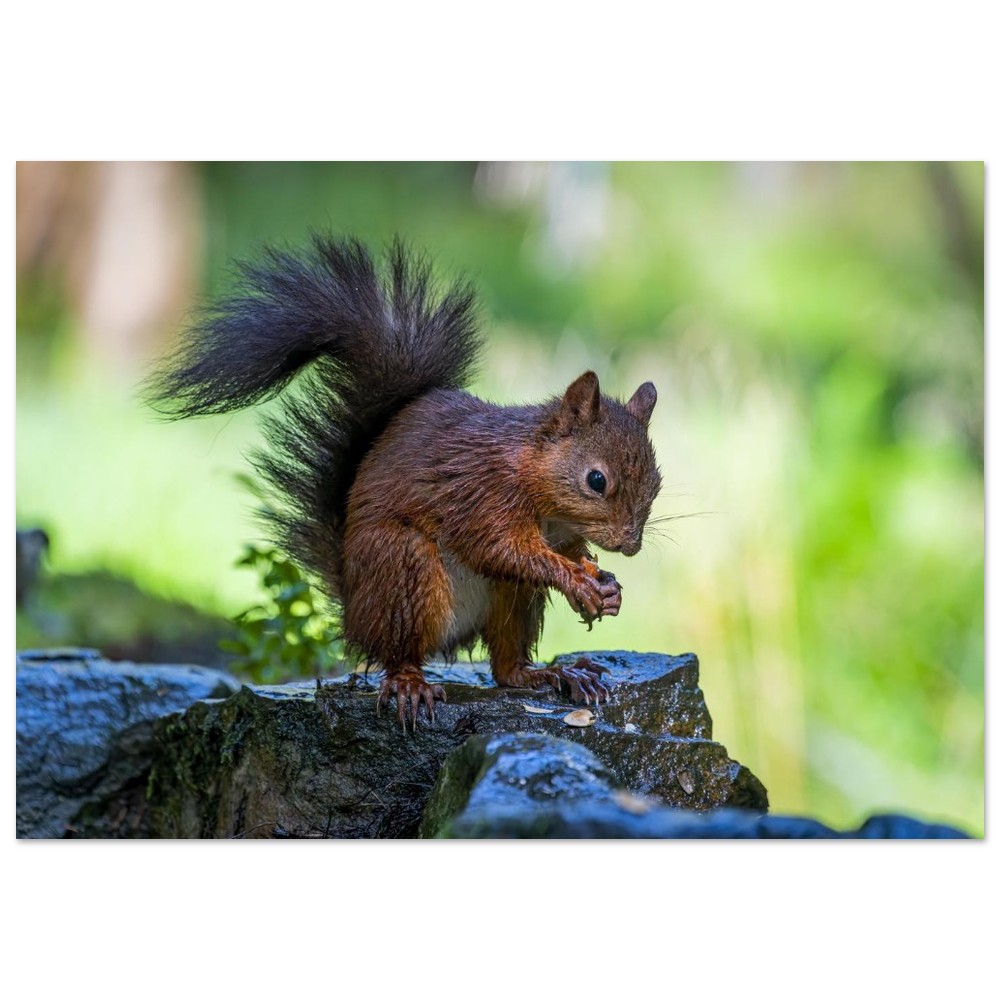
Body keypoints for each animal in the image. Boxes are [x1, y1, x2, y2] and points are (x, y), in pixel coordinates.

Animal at [149, 235, 662, 729]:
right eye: (596, 480)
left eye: (656, 482)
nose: (631, 545)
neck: (538, 484)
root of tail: (354, 609)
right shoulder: (481, 495)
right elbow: (503, 549)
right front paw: (577, 580)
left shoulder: (559, 530)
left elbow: (566, 552)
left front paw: (605, 584)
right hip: (403, 569)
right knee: (399, 652)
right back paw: (411, 683)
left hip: (511, 599)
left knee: (505, 667)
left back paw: (553, 673)